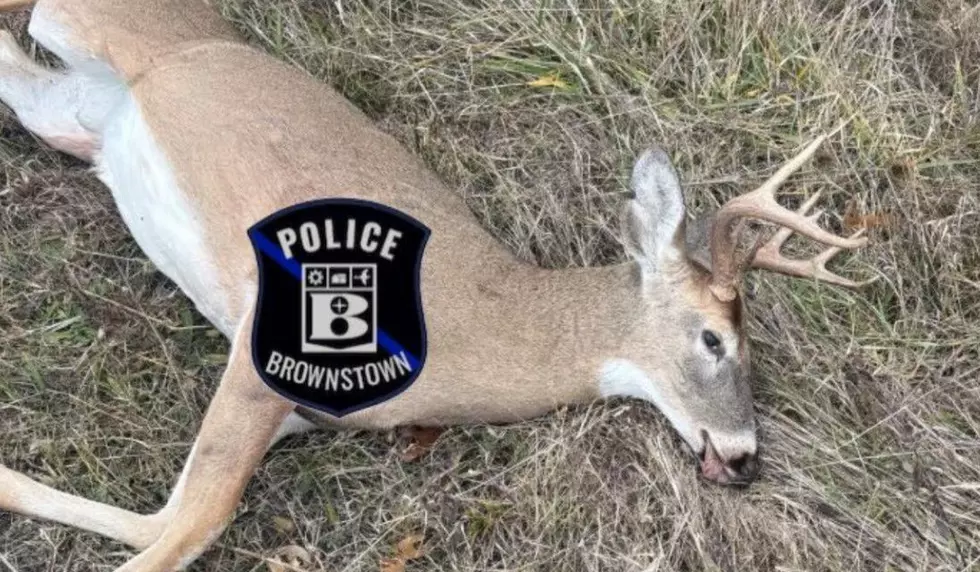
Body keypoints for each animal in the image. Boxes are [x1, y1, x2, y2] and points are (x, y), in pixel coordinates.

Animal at [0, 0, 871, 569]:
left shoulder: (296, 414)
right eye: (714, 338)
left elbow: (168, 519)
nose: (744, 456)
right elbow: (193, 524)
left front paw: (7, 484)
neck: (486, 322)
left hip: (66, 115)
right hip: (81, 23)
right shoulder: (266, 344)